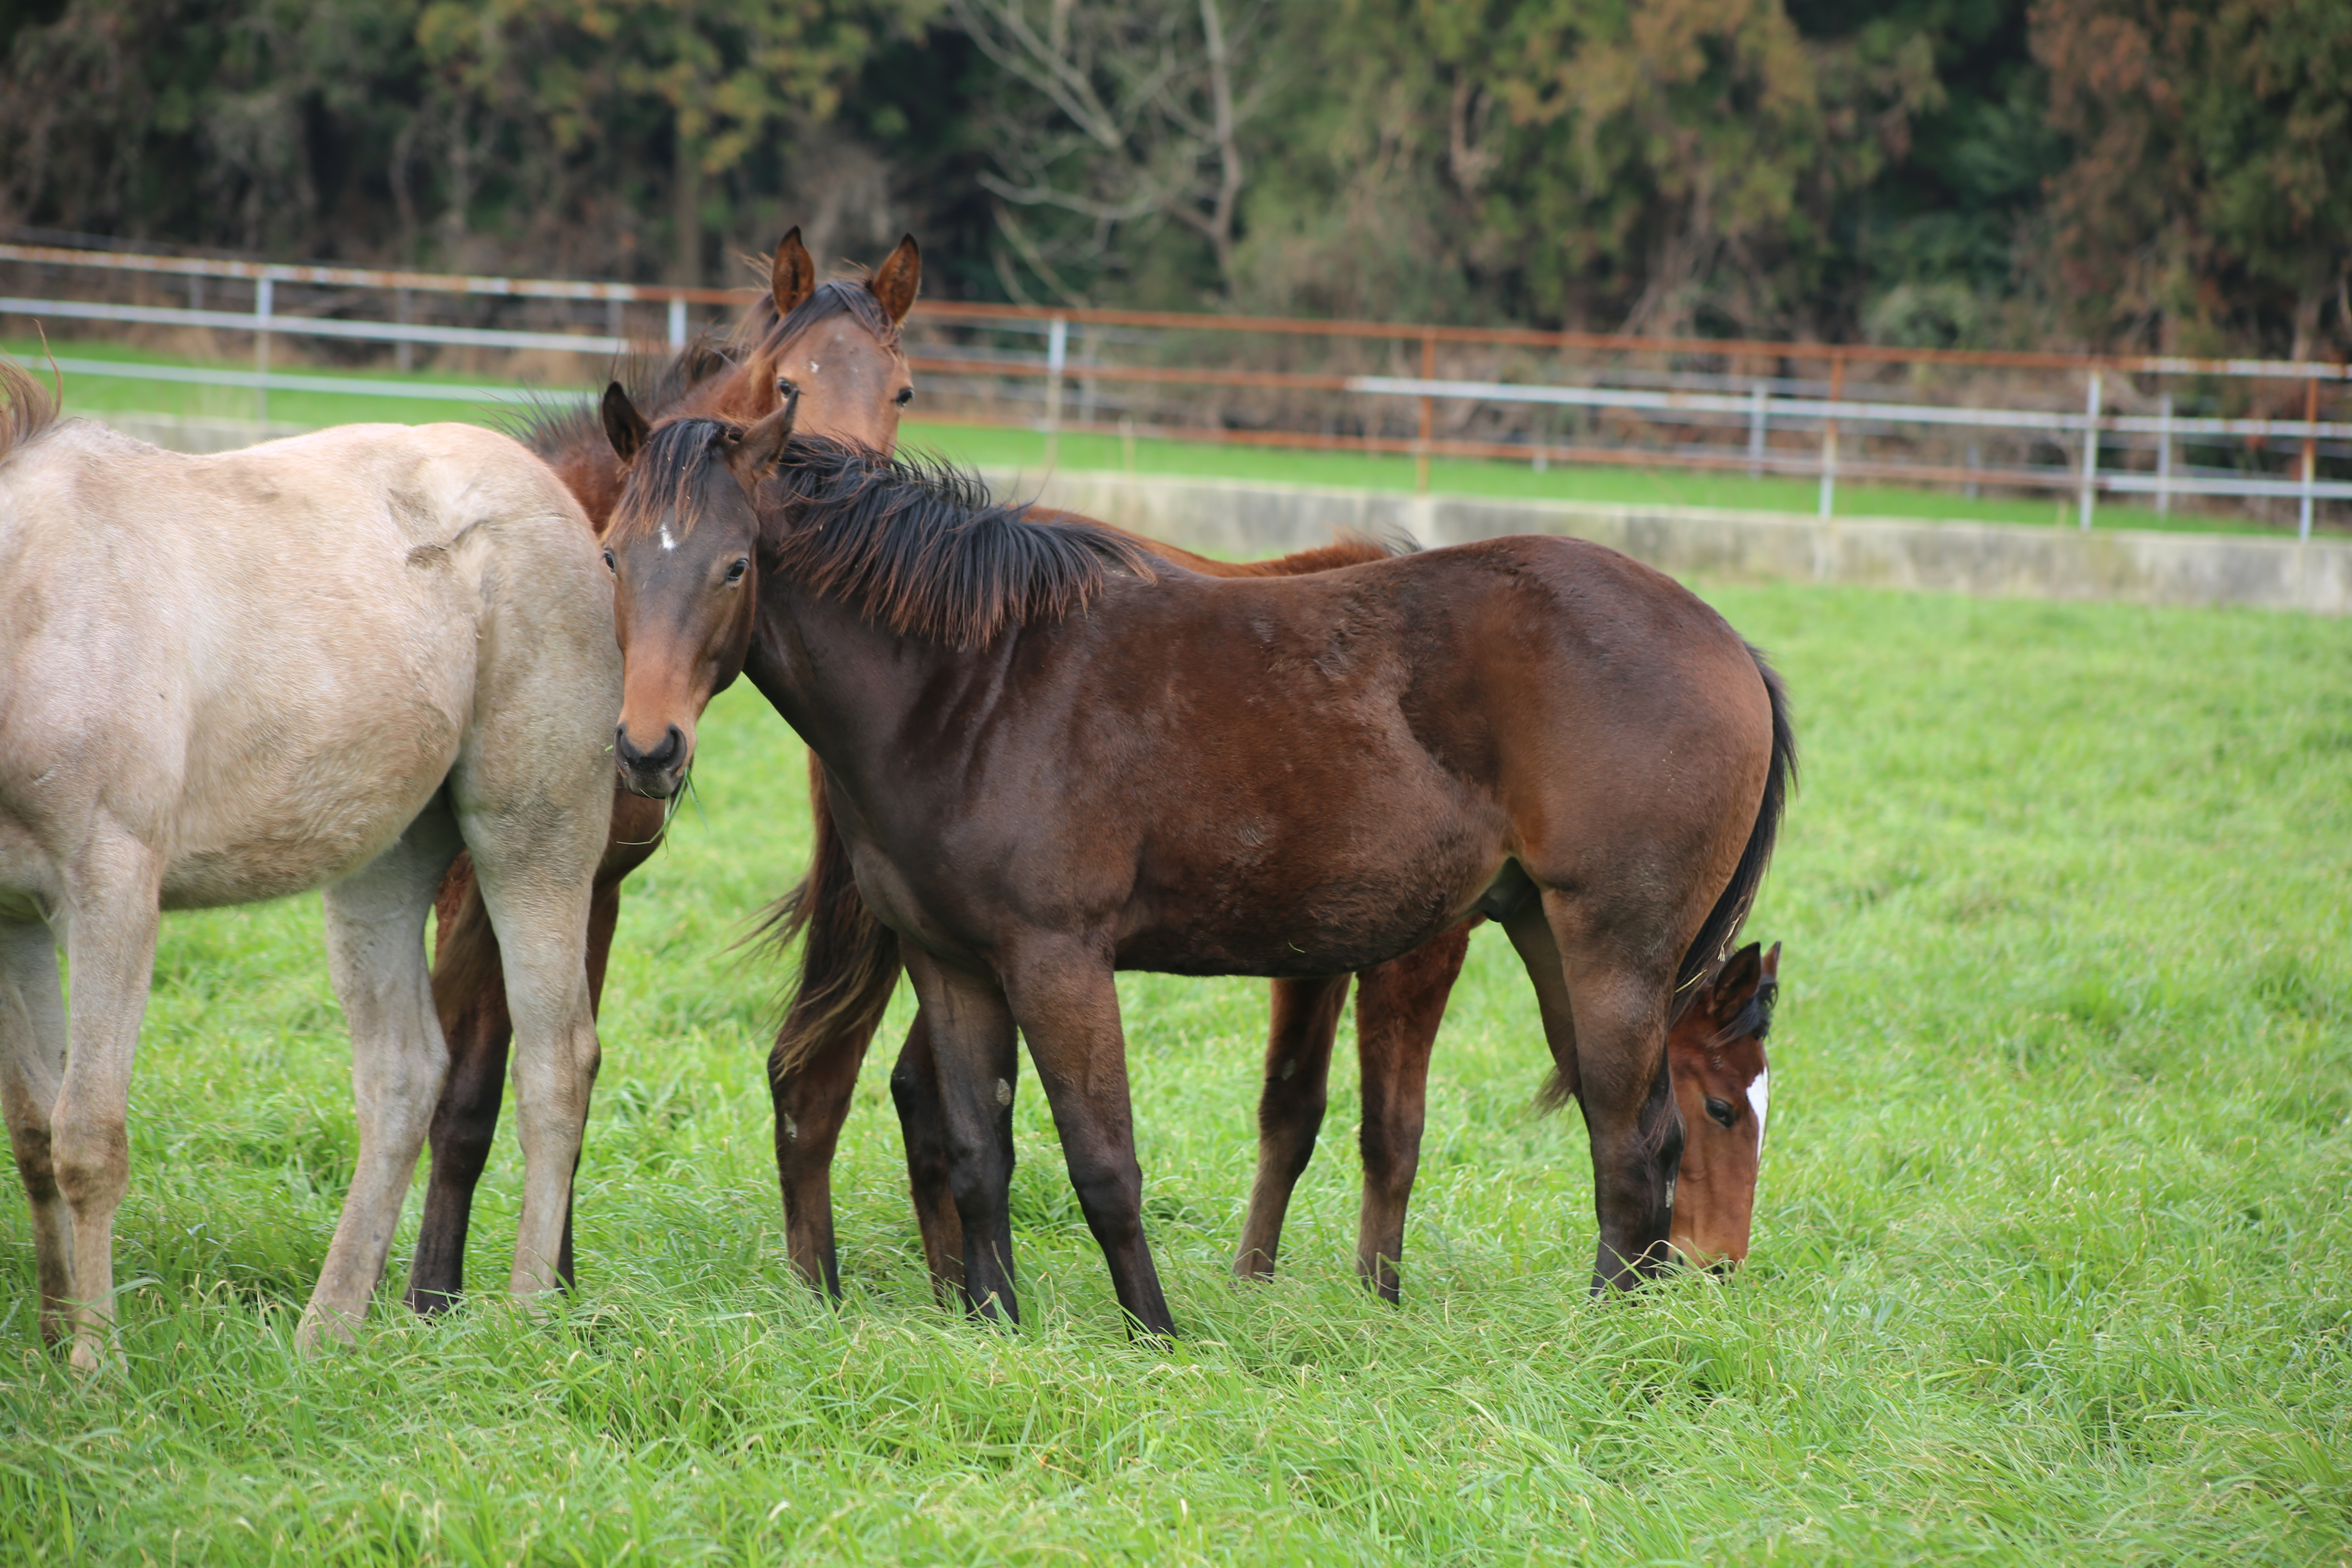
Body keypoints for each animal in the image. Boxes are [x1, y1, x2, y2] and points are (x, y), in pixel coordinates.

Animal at [0, 362, 621, 1363]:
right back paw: (326, 1333)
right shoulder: (11, 914)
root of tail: (562, 506)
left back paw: (527, 1315)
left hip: (535, 839)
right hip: (384, 865)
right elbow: (31, 1134)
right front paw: (56, 1340)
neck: (35, 600)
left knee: (556, 1061)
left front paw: (96, 1364)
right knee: (404, 1075)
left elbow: (86, 1137)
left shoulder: (111, 895)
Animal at [400, 230, 922, 1316]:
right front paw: (434, 1298)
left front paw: (556, 1290)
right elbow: (466, 1088)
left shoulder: (593, 885)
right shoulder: (477, 886)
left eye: (900, 389)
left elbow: (572, 1067)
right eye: (791, 384)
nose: (849, 505)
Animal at [597, 395, 1787, 1335]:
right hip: (1549, 931)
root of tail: (1728, 642)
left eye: (735, 565)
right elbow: (981, 1150)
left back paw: (1602, 1345)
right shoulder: (954, 963)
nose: (648, 747)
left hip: (1612, 946)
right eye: (611, 556)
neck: (973, 685)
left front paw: (1157, 1332)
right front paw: (996, 1324)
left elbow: (1105, 1160)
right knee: (1622, 1134)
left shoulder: (1059, 962)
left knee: (1632, 1144)